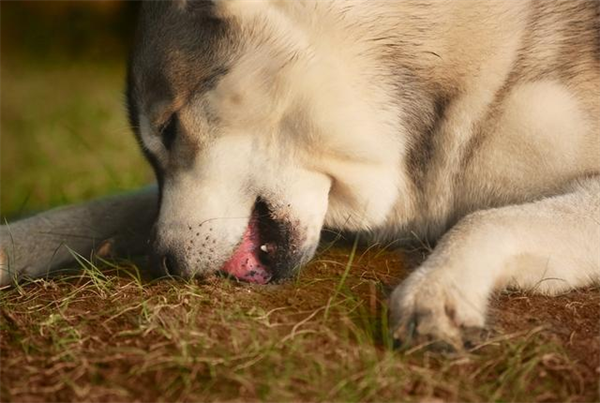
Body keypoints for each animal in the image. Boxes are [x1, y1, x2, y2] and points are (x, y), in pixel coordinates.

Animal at [1, 0, 600, 348]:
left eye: (168, 129)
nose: (162, 262)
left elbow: (485, 220)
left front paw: (440, 290)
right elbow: (99, 208)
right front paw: (11, 245)